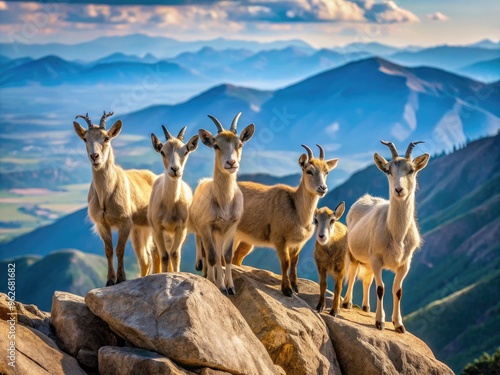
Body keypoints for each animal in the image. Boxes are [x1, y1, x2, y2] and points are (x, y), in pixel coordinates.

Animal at [73, 111, 156, 284]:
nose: (95, 156)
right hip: (140, 229)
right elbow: (109, 250)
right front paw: (110, 281)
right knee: (146, 258)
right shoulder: (102, 223)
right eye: (85, 138)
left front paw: (121, 278)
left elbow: (119, 249)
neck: (106, 196)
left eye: (106, 138)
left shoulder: (125, 221)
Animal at [147, 125, 198, 274]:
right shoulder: (157, 228)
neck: (170, 204)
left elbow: (175, 254)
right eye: (162, 152)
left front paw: (175, 274)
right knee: (156, 252)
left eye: (185, 151)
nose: (175, 169)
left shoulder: (181, 228)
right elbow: (164, 255)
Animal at [189, 113, 256, 296]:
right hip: (204, 229)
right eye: (216, 145)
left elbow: (226, 256)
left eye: (240, 144)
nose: (231, 163)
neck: (224, 203)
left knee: (218, 254)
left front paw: (230, 287)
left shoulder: (231, 225)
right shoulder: (207, 225)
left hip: (220, 232)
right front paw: (217, 284)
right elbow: (212, 256)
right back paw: (205, 272)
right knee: (205, 250)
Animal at [344, 140, 430, 332]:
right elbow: (381, 288)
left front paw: (399, 325)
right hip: (353, 252)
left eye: (411, 170)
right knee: (353, 274)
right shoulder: (377, 258)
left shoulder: (405, 263)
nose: (399, 190)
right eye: (388, 171)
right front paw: (380, 322)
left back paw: (366, 307)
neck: (396, 235)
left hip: (368, 261)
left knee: (367, 280)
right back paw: (346, 302)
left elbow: (397, 291)